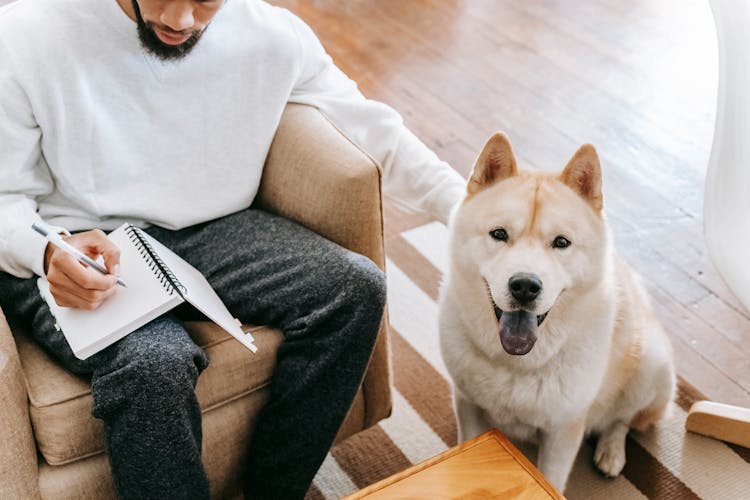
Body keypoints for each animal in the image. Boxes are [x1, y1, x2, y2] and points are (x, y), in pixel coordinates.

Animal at [438, 133, 680, 492]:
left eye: (561, 242)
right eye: (499, 234)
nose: (525, 286)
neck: (516, 364)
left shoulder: (563, 430)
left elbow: (550, 478)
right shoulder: (468, 404)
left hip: (650, 363)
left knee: (622, 420)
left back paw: (611, 452)